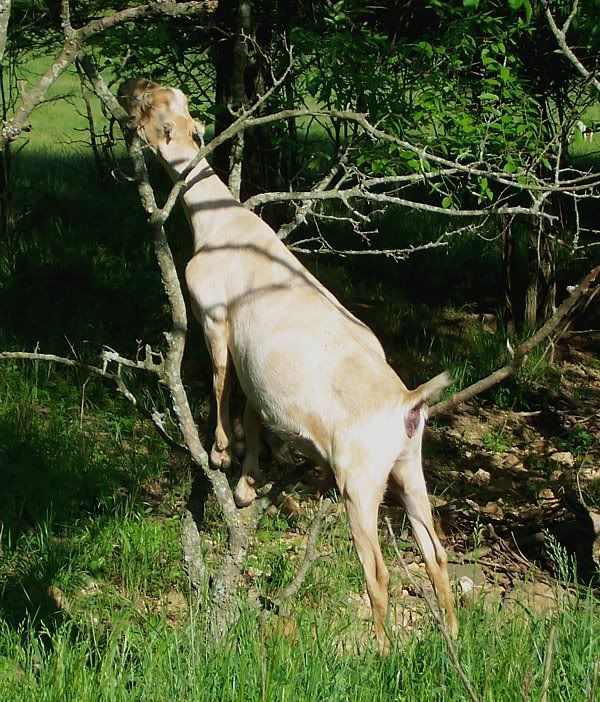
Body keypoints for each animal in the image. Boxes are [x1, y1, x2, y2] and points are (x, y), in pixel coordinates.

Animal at [117, 78, 458, 651]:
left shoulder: (214, 316)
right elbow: (253, 412)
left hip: (360, 480)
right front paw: (246, 485)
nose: (127, 89)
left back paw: (383, 650)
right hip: (409, 467)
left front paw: (220, 454)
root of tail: (406, 403)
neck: (221, 221)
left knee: (378, 571)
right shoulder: (260, 375)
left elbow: (220, 383)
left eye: (151, 106)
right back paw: (454, 634)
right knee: (435, 553)